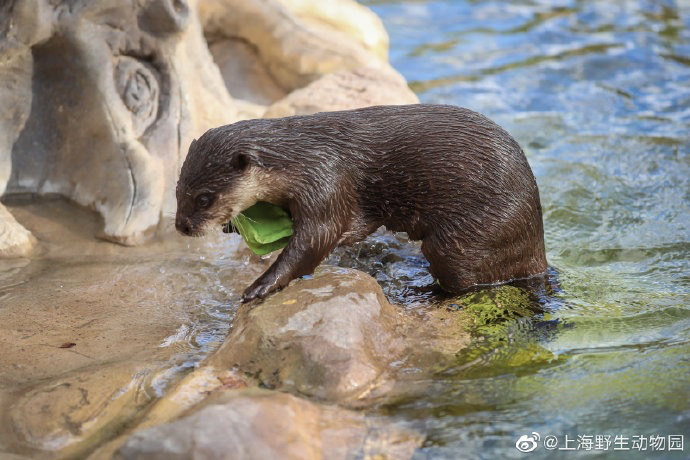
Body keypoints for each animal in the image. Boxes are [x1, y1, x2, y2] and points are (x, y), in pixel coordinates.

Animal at [175, 106, 544, 304]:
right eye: (177, 191)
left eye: (204, 198)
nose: (182, 226)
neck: (299, 160)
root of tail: (536, 244)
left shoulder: (325, 183)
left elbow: (314, 242)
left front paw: (260, 286)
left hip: (468, 237)